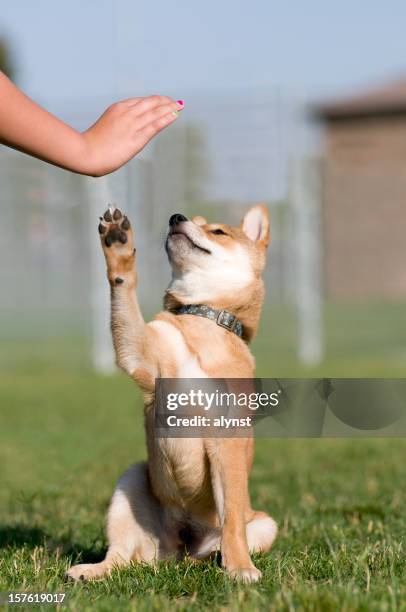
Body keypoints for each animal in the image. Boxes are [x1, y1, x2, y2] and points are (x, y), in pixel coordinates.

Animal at [67, 204, 276, 584]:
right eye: (192, 219)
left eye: (218, 231)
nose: (176, 218)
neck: (201, 320)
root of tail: (179, 547)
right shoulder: (142, 357)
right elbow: (126, 298)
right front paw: (118, 245)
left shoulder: (227, 441)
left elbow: (233, 522)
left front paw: (241, 568)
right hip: (132, 480)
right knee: (121, 556)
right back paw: (92, 570)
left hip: (265, 523)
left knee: (220, 542)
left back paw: (215, 560)